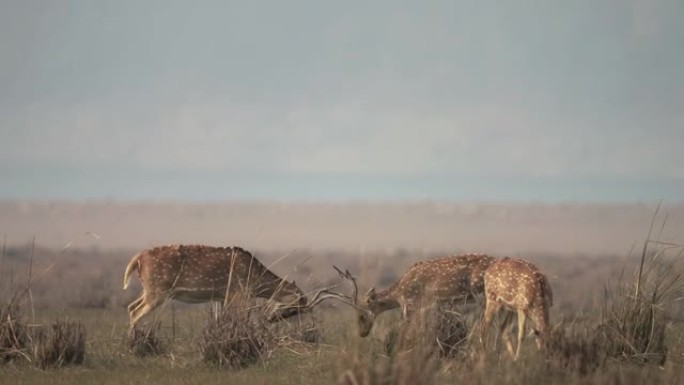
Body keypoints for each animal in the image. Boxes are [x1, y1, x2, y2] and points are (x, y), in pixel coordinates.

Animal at [124, 243, 336, 330]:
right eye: (293, 308)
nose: (271, 319)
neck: (254, 279)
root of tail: (137, 259)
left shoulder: (222, 297)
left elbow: (221, 320)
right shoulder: (239, 293)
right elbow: (241, 319)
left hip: (148, 290)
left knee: (130, 306)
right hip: (157, 291)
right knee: (135, 312)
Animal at [320, 254, 496, 338]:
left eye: (362, 315)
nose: (362, 334)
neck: (399, 293)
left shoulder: (410, 303)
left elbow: (405, 334)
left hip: (481, 295)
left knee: (487, 326)